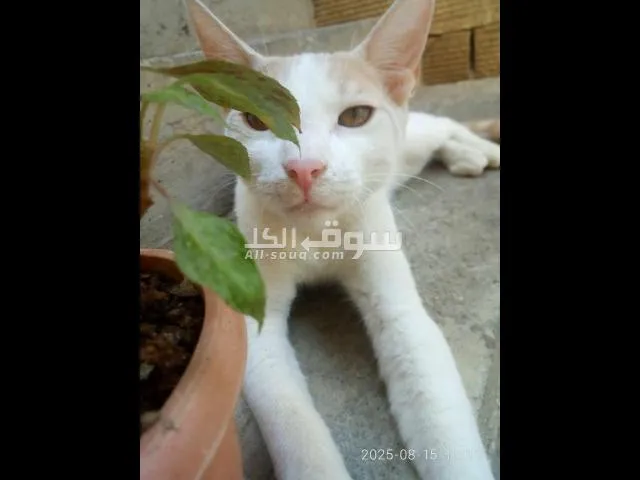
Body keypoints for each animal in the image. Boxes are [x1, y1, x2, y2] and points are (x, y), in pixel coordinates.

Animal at [183, 0, 500, 479]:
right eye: (255, 120)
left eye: (355, 116)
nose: (304, 168)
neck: (317, 234)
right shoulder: (256, 323)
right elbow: (295, 426)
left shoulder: (402, 314)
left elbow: (444, 426)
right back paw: (467, 155)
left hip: (409, 141)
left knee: (442, 123)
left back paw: (481, 149)